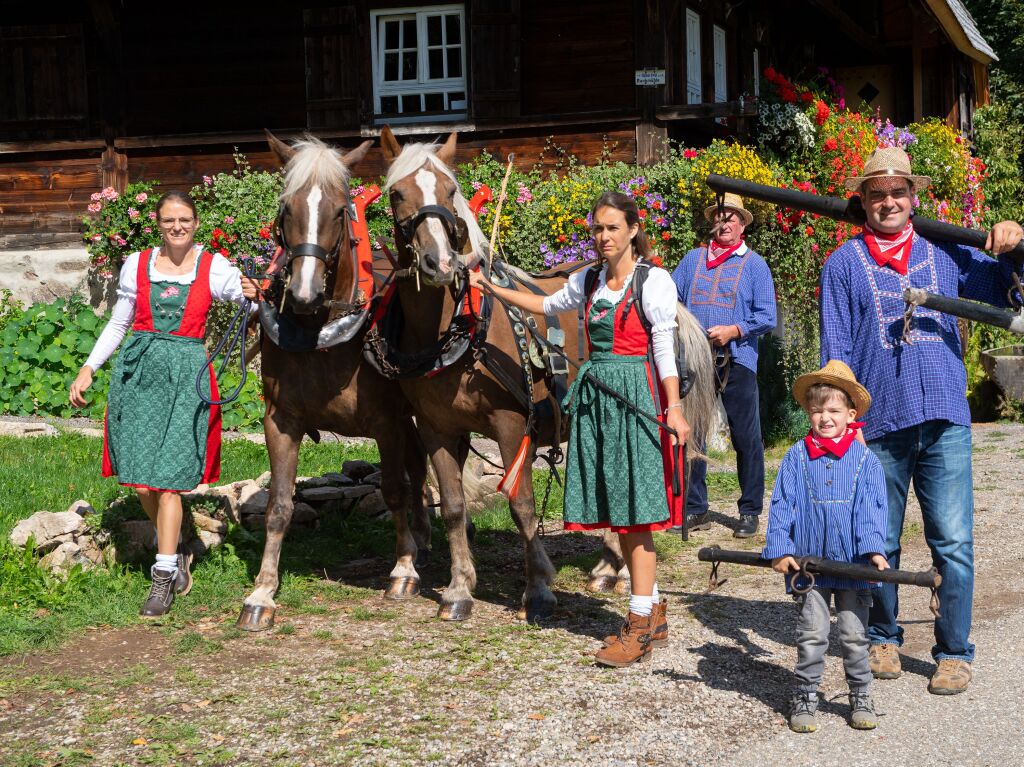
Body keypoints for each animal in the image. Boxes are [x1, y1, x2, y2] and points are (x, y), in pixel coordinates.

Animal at [237, 133, 430, 634]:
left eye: (341, 210)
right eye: (286, 207)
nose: (304, 295)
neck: (321, 330)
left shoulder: (386, 422)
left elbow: (394, 489)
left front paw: (403, 569)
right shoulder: (280, 421)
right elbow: (279, 505)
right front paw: (262, 592)